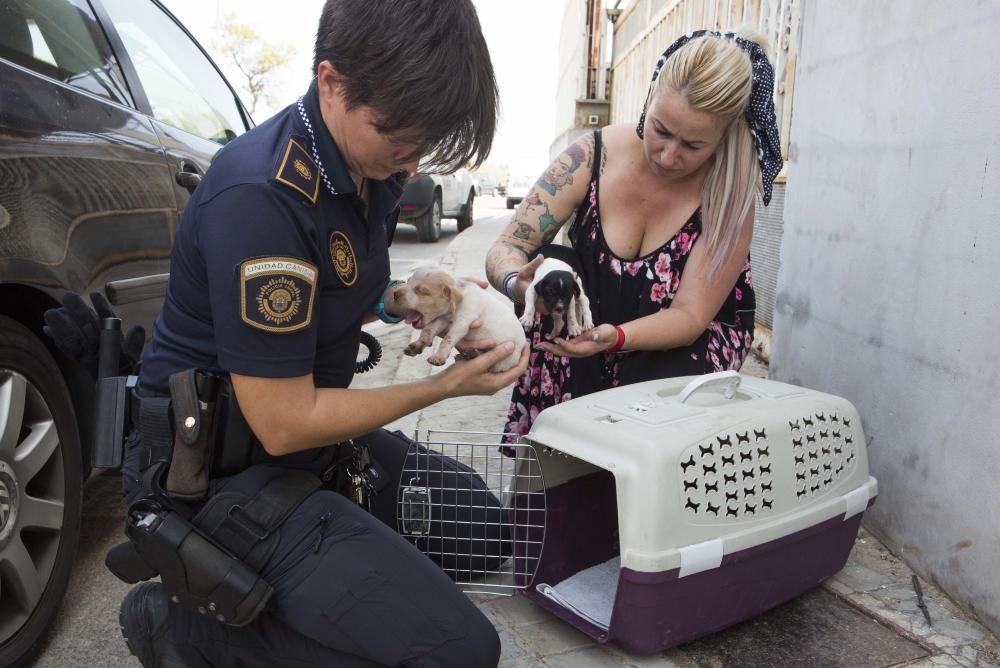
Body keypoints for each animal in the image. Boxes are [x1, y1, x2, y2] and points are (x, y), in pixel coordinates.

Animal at [394, 264, 528, 370]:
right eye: (408, 281)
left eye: (422, 291)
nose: (395, 294)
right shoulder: (443, 319)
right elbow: (428, 330)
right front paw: (418, 345)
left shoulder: (462, 322)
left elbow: (447, 339)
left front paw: (438, 356)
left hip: (503, 360)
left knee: (492, 366)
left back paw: (472, 353)